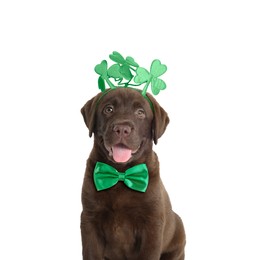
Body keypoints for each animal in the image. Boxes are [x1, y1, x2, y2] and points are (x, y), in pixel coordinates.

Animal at [80, 88, 185, 260]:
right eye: (108, 109)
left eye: (140, 112)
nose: (122, 129)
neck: (121, 174)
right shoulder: (90, 220)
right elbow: (91, 253)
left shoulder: (152, 226)